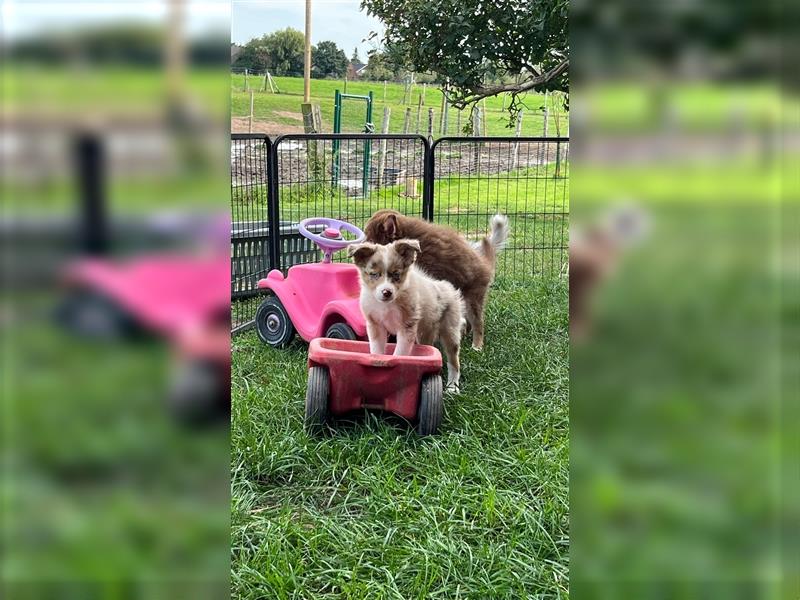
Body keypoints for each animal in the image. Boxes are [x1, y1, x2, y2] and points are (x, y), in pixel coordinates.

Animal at [348, 239, 466, 394]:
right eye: (374, 274)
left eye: (396, 274)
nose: (387, 292)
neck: (387, 305)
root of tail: (449, 288)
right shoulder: (375, 326)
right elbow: (377, 350)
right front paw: (376, 364)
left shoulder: (407, 327)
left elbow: (400, 354)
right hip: (425, 333)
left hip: (450, 330)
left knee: (454, 361)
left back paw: (452, 387)